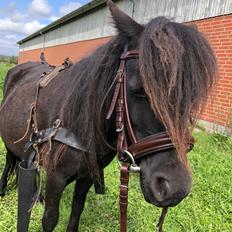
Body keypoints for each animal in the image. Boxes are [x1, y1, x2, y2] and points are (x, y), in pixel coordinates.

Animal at [0, 0, 218, 231]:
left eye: (192, 98)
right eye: (139, 90)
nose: (175, 189)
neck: (79, 124)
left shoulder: (87, 176)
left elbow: (76, 211)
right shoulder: (55, 179)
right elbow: (50, 219)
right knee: (10, 159)